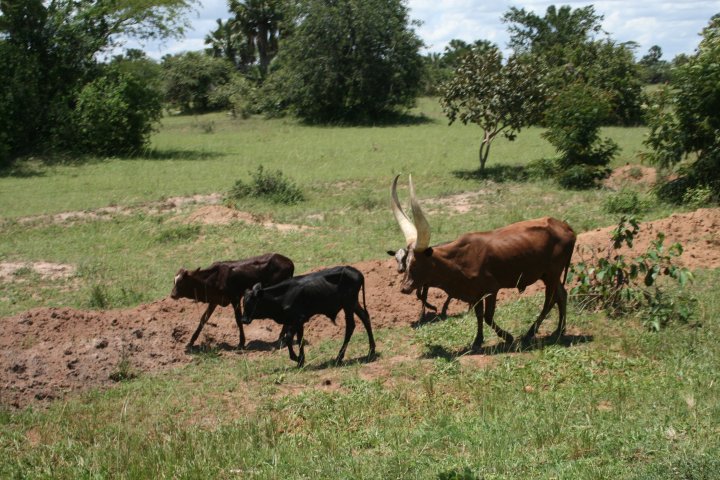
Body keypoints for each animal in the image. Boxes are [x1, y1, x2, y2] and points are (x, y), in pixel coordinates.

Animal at [241, 266, 376, 367]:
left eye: (250, 302)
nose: (243, 319)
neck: (282, 296)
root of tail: (357, 272)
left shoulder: (297, 319)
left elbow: (288, 338)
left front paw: (296, 358)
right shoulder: (298, 322)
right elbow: (299, 339)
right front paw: (301, 360)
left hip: (348, 305)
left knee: (350, 326)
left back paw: (339, 358)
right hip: (353, 303)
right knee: (365, 317)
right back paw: (371, 352)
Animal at [390, 175, 576, 349]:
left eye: (416, 263)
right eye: (405, 262)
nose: (404, 287)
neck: (457, 261)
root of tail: (565, 226)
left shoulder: (491, 290)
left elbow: (487, 316)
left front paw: (507, 337)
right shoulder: (476, 293)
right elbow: (479, 316)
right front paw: (477, 340)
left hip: (552, 273)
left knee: (550, 301)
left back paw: (530, 333)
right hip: (547, 275)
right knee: (561, 295)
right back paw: (559, 330)